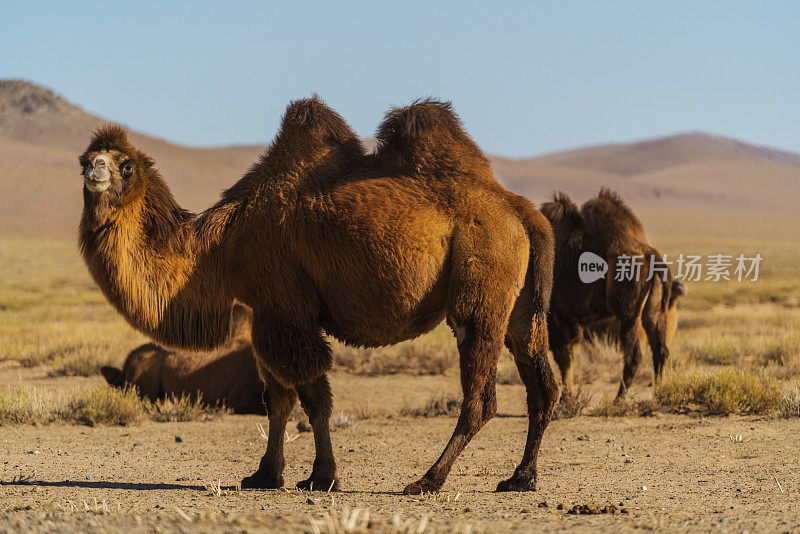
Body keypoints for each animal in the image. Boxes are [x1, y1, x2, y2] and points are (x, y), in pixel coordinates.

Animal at [540, 192, 680, 398]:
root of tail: (653, 257)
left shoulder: (557, 315)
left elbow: (563, 357)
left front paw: (566, 397)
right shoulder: (568, 318)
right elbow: (568, 354)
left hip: (628, 313)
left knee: (634, 355)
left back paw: (619, 398)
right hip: (654, 311)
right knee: (660, 350)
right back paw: (658, 392)